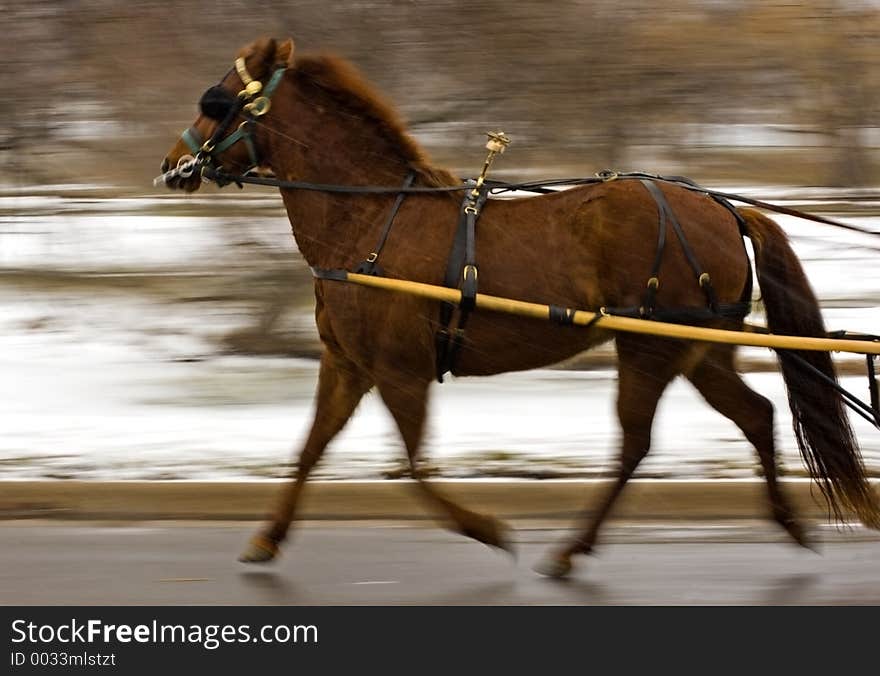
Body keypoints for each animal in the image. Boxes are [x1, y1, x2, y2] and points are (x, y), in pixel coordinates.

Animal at [162, 35, 876, 576]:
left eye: (216, 100)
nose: (172, 165)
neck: (370, 220)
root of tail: (721, 209)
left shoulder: (399, 370)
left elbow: (414, 467)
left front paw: (487, 529)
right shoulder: (347, 364)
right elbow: (311, 448)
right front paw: (267, 538)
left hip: (650, 344)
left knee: (636, 442)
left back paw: (571, 549)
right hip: (697, 346)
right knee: (755, 415)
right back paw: (786, 524)